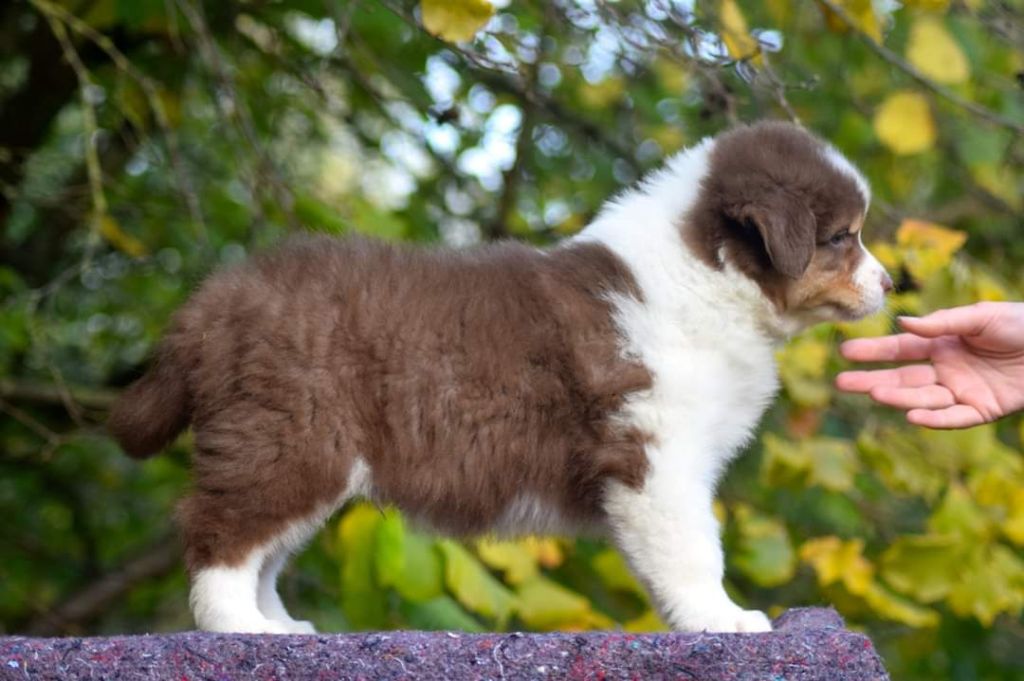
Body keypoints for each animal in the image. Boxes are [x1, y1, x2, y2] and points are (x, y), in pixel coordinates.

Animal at [109, 121, 892, 634]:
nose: (892, 282)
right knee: (221, 532)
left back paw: (280, 627)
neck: (704, 275)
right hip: (288, 436)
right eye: (842, 237)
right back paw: (239, 628)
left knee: (263, 549)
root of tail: (214, 300)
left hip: (305, 452)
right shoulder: (657, 455)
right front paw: (722, 619)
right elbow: (694, 547)